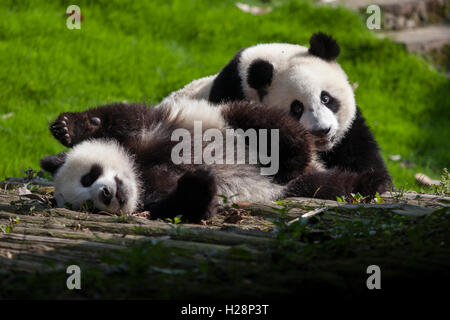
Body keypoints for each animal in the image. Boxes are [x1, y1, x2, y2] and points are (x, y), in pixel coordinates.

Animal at [40, 97, 388, 222]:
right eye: (88, 205)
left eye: (88, 175)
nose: (107, 193)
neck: (138, 172)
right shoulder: (152, 198)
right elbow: (188, 206)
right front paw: (200, 180)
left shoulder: (150, 131)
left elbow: (126, 118)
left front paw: (69, 128)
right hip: (302, 186)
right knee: (329, 185)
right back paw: (369, 182)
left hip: (231, 121)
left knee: (264, 122)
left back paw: (295, 156)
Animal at [164, 31, 390, 188]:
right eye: (296, 108)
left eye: (326, 98)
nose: (322, 131)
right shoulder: (231, 97)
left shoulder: (348, 132)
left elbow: (359, 151)